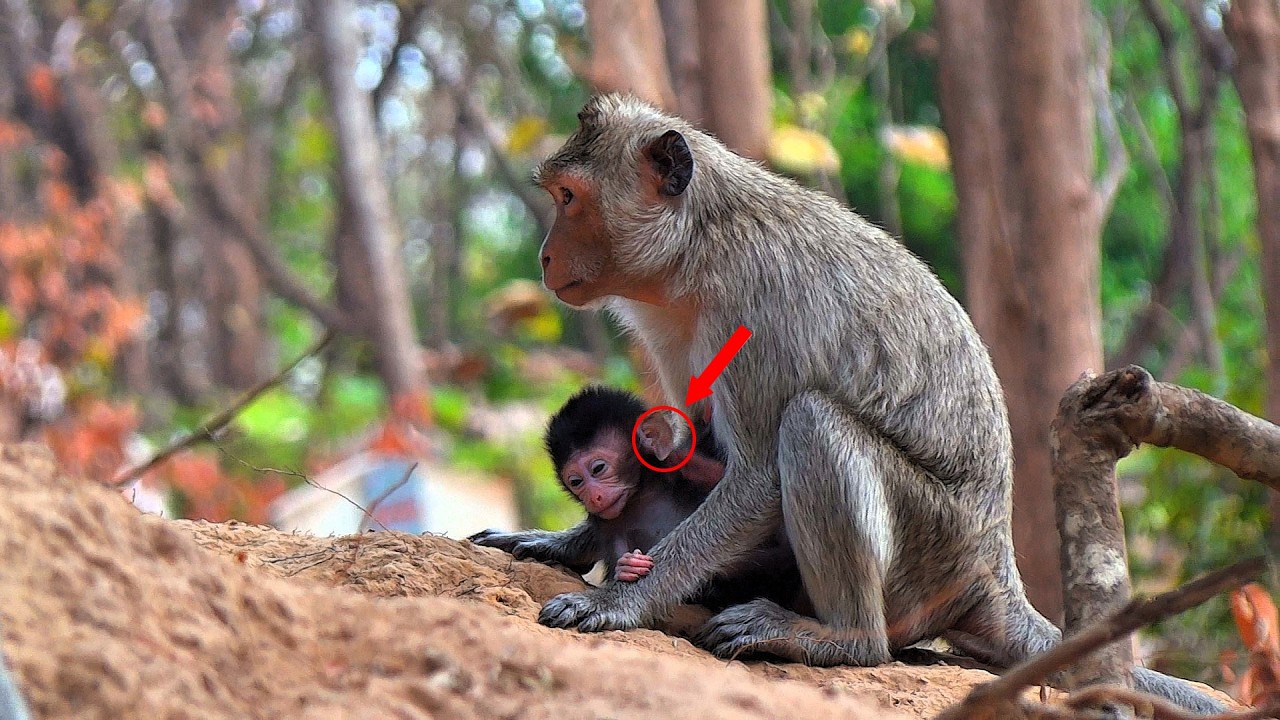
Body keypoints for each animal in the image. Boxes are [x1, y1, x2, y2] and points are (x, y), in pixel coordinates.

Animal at [471, 385, 808, 613]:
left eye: (598, 468)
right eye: (575, 482)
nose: (594, 495)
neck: (644, 493)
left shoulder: (688, 466)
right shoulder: (609, 522)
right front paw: (627, 567)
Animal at [521, 94, 1225, 713]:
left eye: (569, 198)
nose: (546, 256)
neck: (698, 244)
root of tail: (991, 571)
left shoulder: (755, 311)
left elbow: (754, 476)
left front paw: (617, 602)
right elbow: (690, 448)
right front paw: (569, 541)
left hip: (928, 551)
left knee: (812, 422)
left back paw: (840, 638)